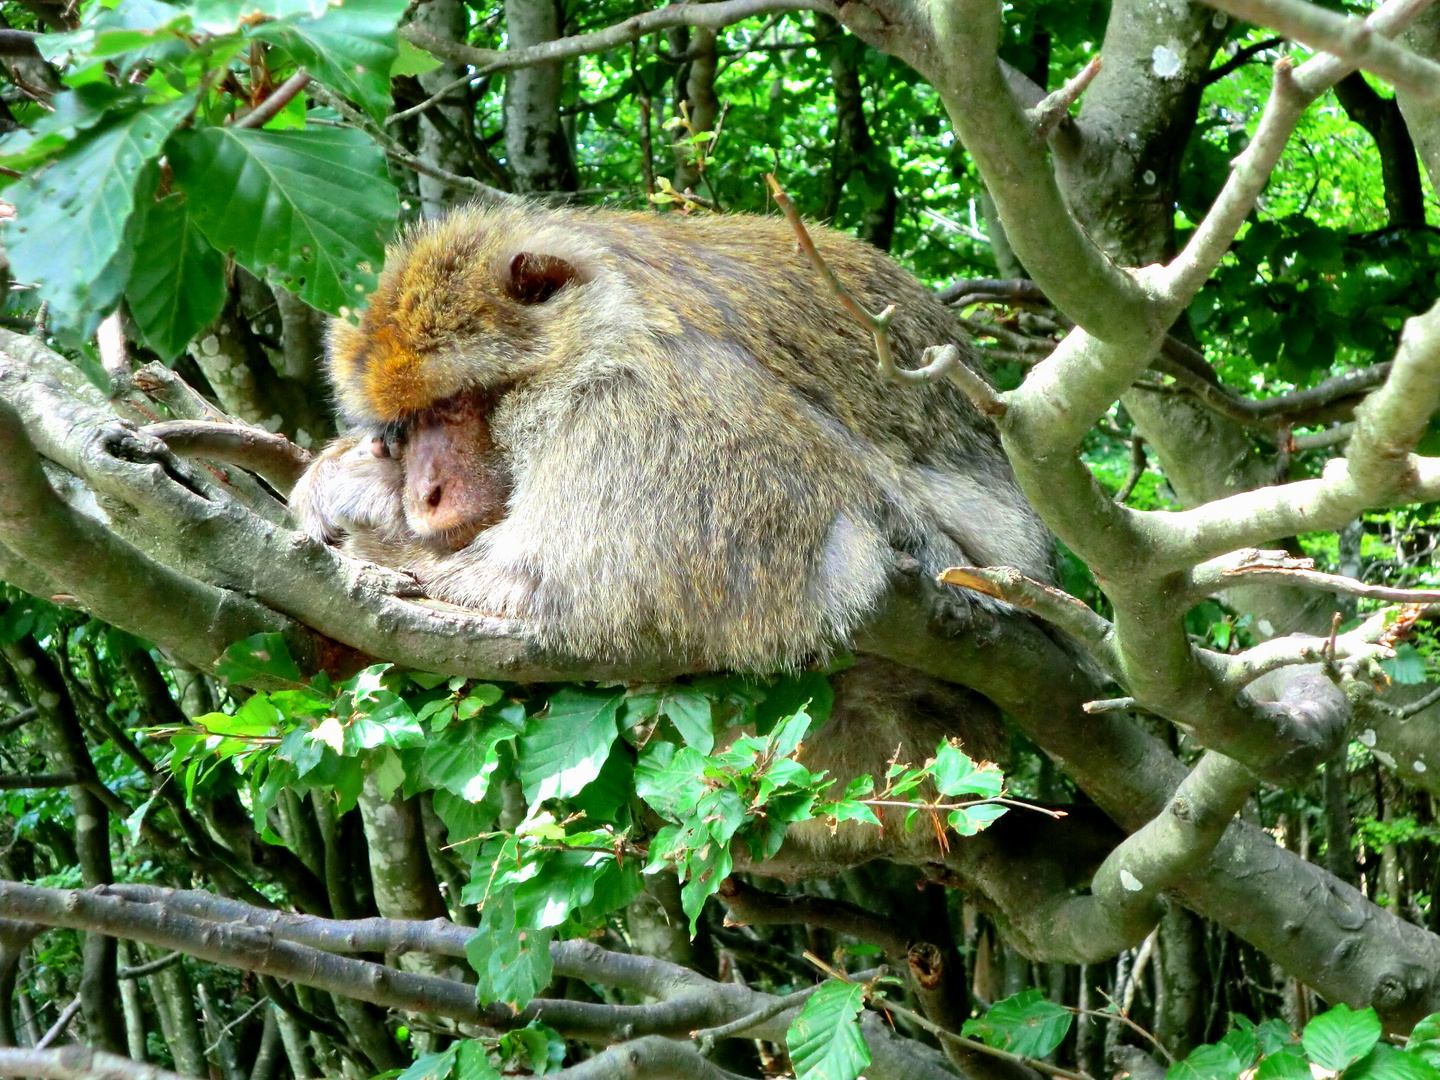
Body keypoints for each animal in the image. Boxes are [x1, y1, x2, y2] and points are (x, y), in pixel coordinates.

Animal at [292, 201, 1054, 673]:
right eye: (406, 424)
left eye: (453, 405)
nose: (425, 492)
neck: (604, 330)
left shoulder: (642, 413)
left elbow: (537, 589)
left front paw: (360, 506)